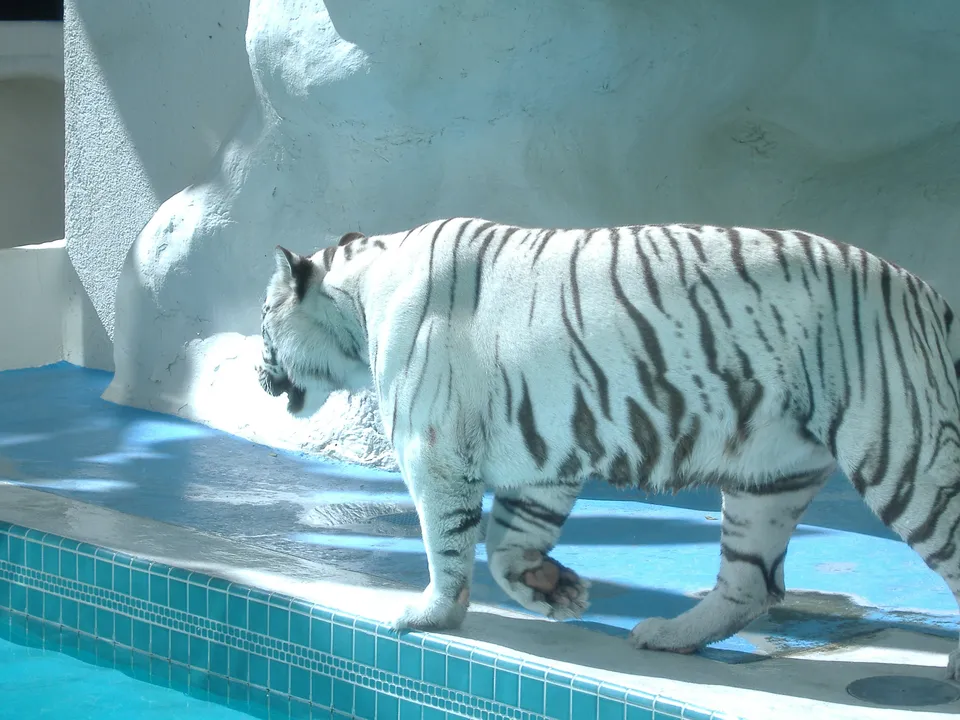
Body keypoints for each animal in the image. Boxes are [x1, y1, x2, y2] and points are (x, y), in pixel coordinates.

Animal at [257, 217, 960, 680]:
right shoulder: (538, 463)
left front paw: (427, 615)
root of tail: (929, 292)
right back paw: (670, 637)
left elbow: (448, 540)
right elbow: (505, 542)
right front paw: (556, 591)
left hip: (904, 455)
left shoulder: (434, 451)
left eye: (264, 321)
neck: (360, 298)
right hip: (768, 477)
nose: (260, 378)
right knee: (749, 585)